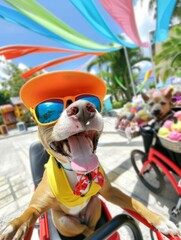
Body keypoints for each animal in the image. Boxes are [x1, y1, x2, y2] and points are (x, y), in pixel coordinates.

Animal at [0, 71, 180, 238]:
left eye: (92, 101)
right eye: (49, 111)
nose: (82, 108)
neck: (78, 174)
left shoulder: (110, 191)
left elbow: (135, 202)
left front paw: (160, 221)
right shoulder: (37, 207)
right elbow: (27, 214)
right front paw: (13, 227)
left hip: (95, 204)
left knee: (90, 226)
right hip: (63, 221)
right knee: (83, 229)